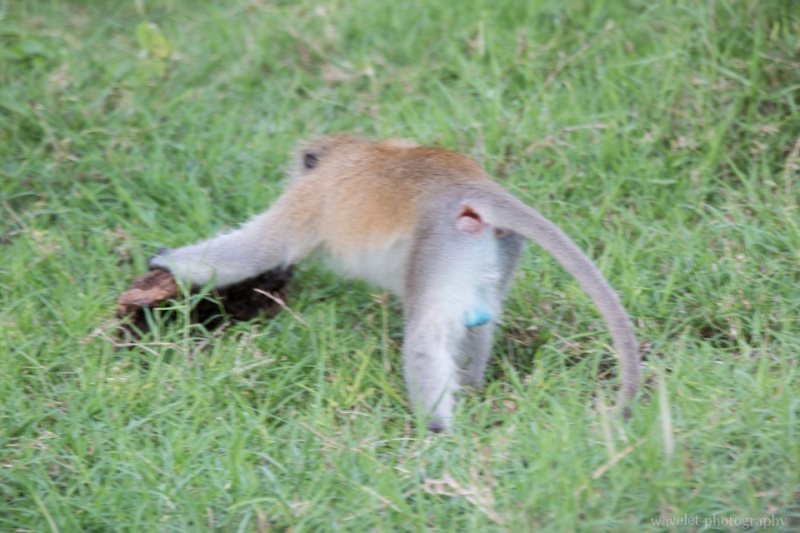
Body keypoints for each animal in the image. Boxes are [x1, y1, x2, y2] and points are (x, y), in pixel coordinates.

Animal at [149, 134, 640, 432]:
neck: (347, 149)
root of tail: (469, 187)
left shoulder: (307, 199)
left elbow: (256, 249)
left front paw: (168, 262)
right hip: (499, 248)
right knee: (479, 321)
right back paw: (471, 388)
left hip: (439, 244)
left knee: (426, 337)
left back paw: (436, 430)